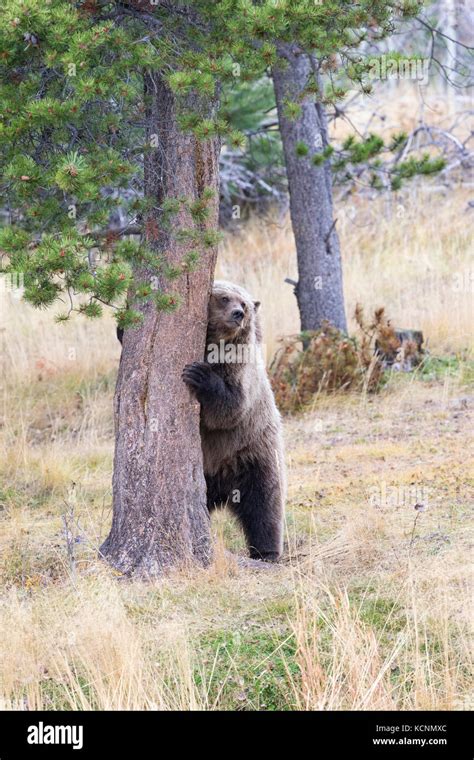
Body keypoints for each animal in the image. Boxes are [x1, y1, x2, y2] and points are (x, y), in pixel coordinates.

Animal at [181, 280, 286, 560]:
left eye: (245, 304)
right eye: (224, 298)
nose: (238, 313)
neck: (214, 344)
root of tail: (224, 491)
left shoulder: (239, 370)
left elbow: (229, 408)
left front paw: (199, 375)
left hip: (253, 457)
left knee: (264, 506)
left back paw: (267, 551)